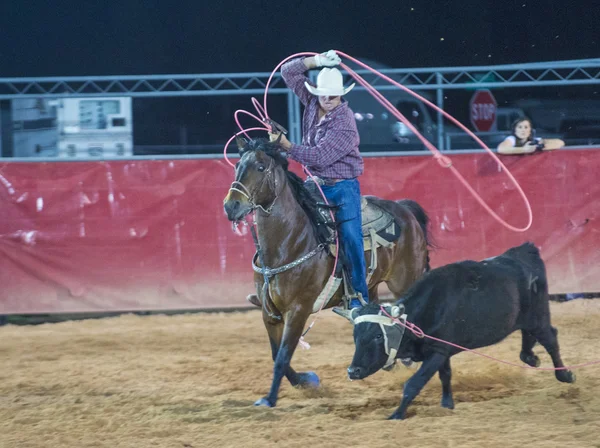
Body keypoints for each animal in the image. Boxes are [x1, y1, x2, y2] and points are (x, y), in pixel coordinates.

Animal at [224, 138, 432, 408]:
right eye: (238, 165)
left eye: (260, 167)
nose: (231, 205)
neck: (288, 242)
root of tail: (405, 209)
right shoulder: (269, 313)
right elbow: (276, 354)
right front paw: (305, 381)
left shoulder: (298, 310)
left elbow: (282, 357)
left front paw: (270, 399)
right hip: (372, 288)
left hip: (406, 281)